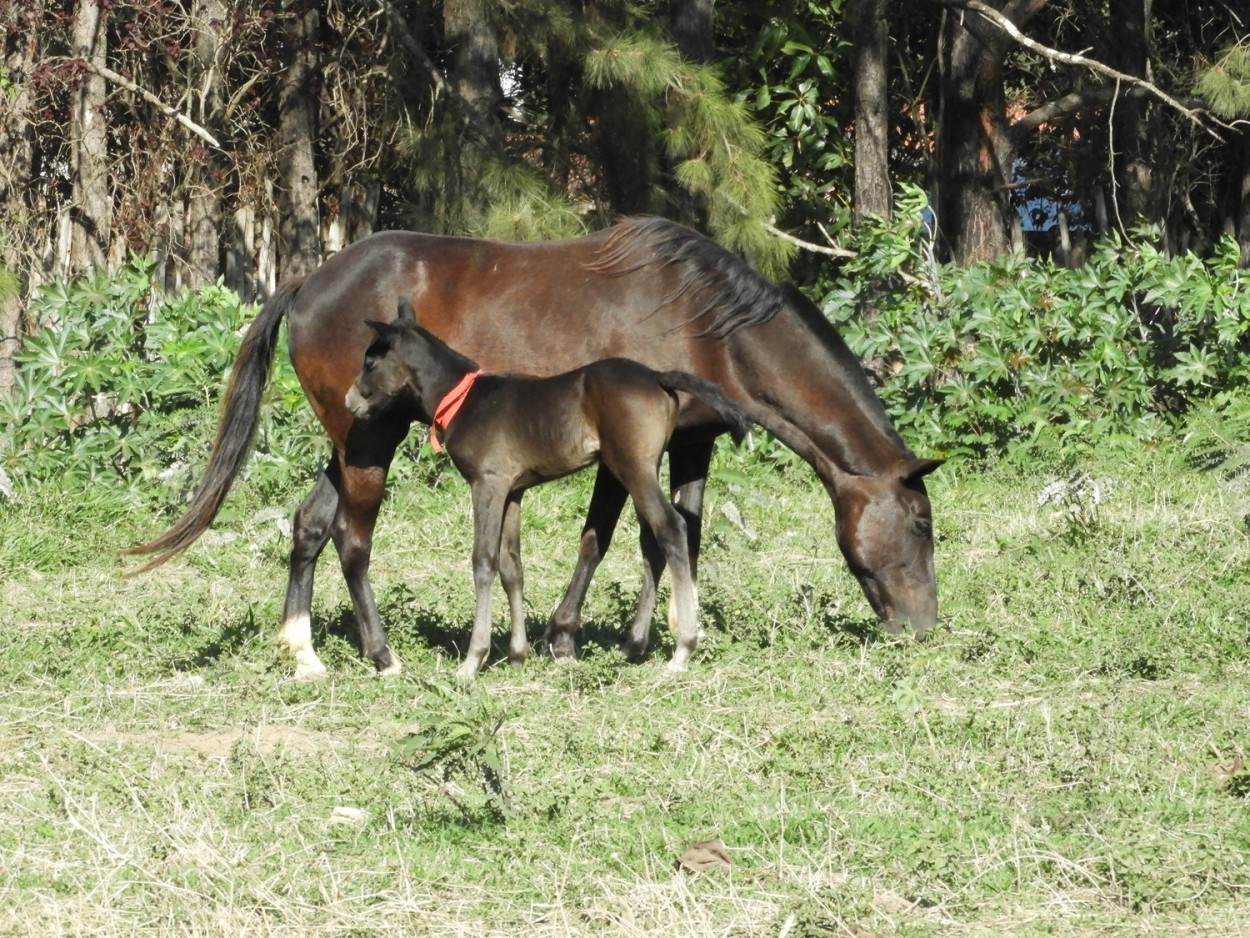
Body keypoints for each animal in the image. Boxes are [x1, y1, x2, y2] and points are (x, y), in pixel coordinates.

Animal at [347, 298, 745, 675]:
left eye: (370, 362)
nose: (350, 401)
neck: (463, 400)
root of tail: (659, 377)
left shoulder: (487, 483)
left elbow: (484, 561)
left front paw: (473, 660)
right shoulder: (513, 491)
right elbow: (512, 567)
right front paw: (517, 655)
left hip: (633, 466)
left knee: (672, 528)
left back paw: (683, 648)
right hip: (644, 467)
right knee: (654, 540)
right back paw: (639, 646)